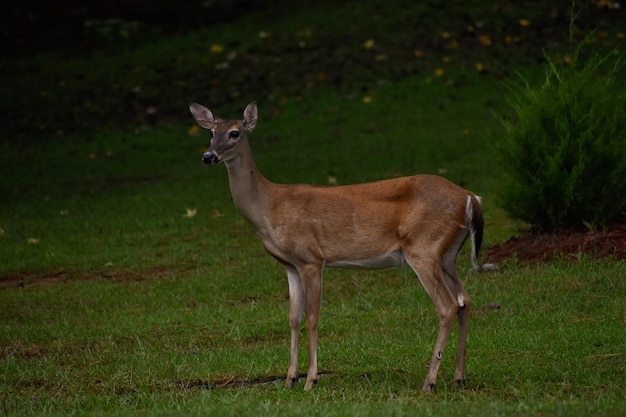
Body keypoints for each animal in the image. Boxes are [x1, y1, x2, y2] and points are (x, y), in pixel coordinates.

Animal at [188, 101, 490, 394]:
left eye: (235, 133)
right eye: (211, 132)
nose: (207, 156)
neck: (269, 208)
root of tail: (471, 198)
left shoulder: (311, 258)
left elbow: (312, 316)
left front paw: (310, 380)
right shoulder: (290, 265)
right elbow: (293, 318)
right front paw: (289, 378)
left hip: (423, 247)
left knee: (447, 305)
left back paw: (430, 382)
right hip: (447, 255)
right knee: (465, 301)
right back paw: (458, 378)